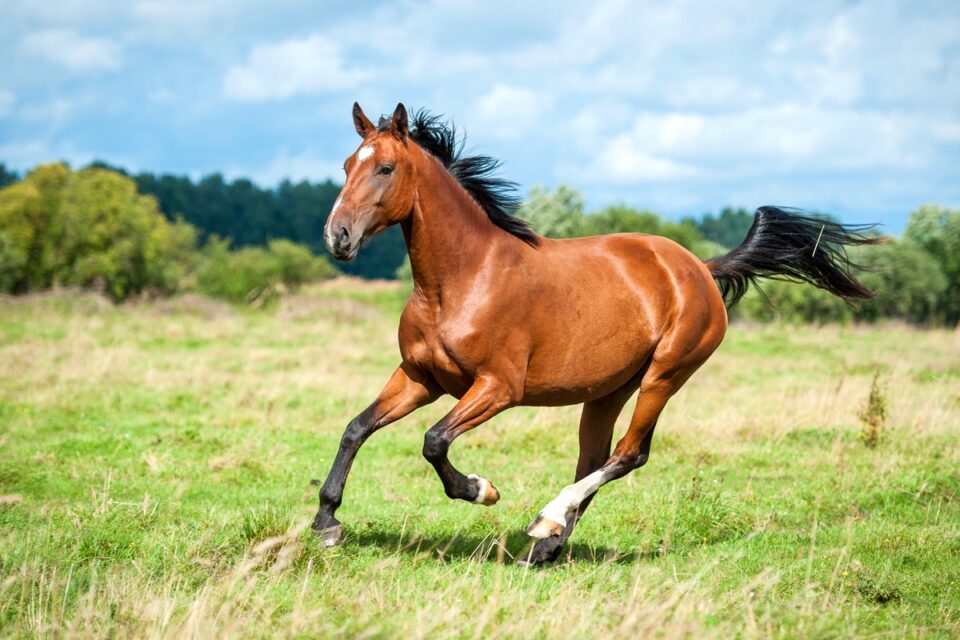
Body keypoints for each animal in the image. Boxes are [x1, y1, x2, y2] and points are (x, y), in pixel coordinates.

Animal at [312, 102, 881, 565]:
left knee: (628, 454)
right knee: (596, 456)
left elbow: (434, 442)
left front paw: (482, 490)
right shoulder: (419, 378)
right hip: (608, 389)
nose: (337, 236)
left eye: (385, 168)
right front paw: (326, 523)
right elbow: (356, 428)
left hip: (664, 376)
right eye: (346, 165)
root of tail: (698, 267)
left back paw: (546, 520)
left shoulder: (498, 388)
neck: (461, 280)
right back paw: (546, 545)